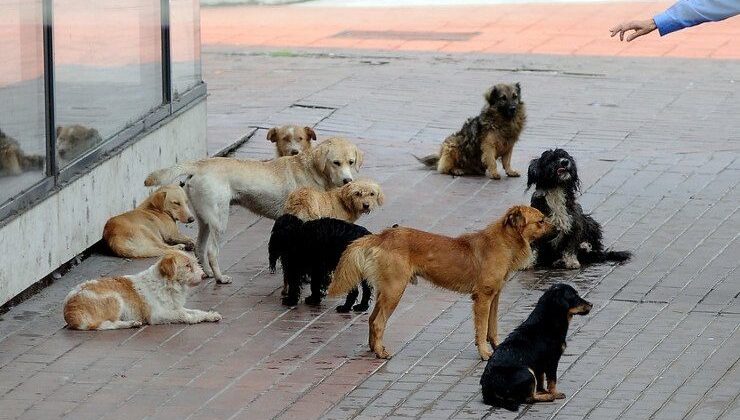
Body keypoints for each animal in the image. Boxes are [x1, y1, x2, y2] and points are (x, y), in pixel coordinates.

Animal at [143, 138, 362, 286]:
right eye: (336, 162)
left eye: (351, 162)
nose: (348, 180)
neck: (313, 170)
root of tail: (200, 164)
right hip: (219, 221)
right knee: (212, 251)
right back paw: (220, 278)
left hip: (205, 220)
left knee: (199, 248)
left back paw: (207, 273)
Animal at [328, 205, 548, 360]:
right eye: (541, 221)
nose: (556, 227)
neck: (503, 242)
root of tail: (382, 236)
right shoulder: (482, 298)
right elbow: (482, 328)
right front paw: (485, 353)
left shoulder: (494, 296)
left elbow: (492, 327)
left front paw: (496, 347)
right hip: (395, 291)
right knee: (378, 323)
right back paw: (382, 353)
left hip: (385, 291)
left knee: (372, 319)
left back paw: (374, 348)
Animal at [480, 282, 596, 410]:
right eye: (574, 296)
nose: (591, 304)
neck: (548, 321)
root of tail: (488, 390)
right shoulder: (552, 361)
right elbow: (552, 380)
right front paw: (554, 393)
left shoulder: (539, 365)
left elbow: (541, 380)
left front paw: (543, 390)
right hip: (527, 372)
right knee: (529, 398)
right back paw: (549, 397)